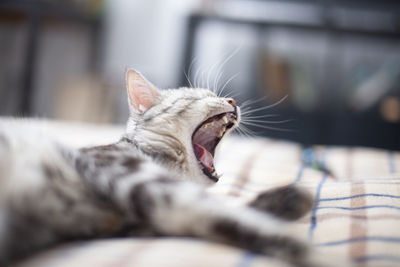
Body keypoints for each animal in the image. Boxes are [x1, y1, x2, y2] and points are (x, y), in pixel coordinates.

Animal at [0, 70, 346, 266]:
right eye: (201, 96)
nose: (232, 101)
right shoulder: (134, 178)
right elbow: (231, 216)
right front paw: (309, 252)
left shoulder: (133, 224)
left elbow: (225, 214)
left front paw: (285, 200)